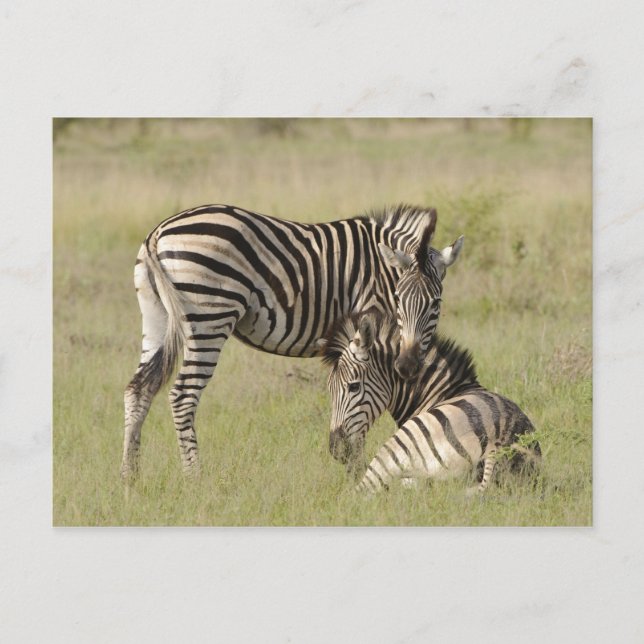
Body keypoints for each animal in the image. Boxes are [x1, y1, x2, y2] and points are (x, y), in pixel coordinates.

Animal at [121, 203, 463, 480]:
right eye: (399, 298)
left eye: (435, 304)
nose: (407, 366)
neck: (382, 271)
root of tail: (157, 233)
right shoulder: (367, 326)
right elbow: (361, 396)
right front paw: (358, 471)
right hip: (209, 315)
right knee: (182, 396)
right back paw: (195, 480)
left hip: (155, 316)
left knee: (138, 389)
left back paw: (130, 479)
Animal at [319, 312, 541, 492]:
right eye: (330, 389)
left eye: (354, 387)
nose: (336, 449)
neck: (443, 391)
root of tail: (497, 443)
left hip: (398, 447)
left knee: (359, 492)